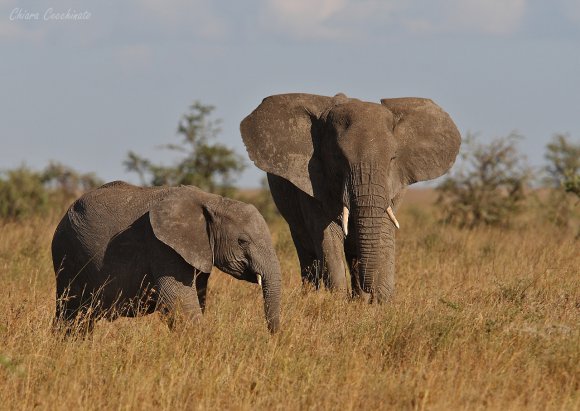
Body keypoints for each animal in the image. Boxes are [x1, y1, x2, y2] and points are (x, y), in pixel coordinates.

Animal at [51, 183, 282, 334]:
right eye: (242, 241)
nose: (273, 338)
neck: (212, 200)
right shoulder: (162, 247)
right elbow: (179, 300)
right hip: (68, 254)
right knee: (71, 314)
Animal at [239, 95, 458, 304]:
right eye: (339, 158)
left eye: (393, 159)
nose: (370, 292)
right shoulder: (312, 183)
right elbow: (328, 237)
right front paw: (338, 302)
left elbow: (384, 231)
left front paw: (380, 304)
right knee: (306, 250)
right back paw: (312, 295)